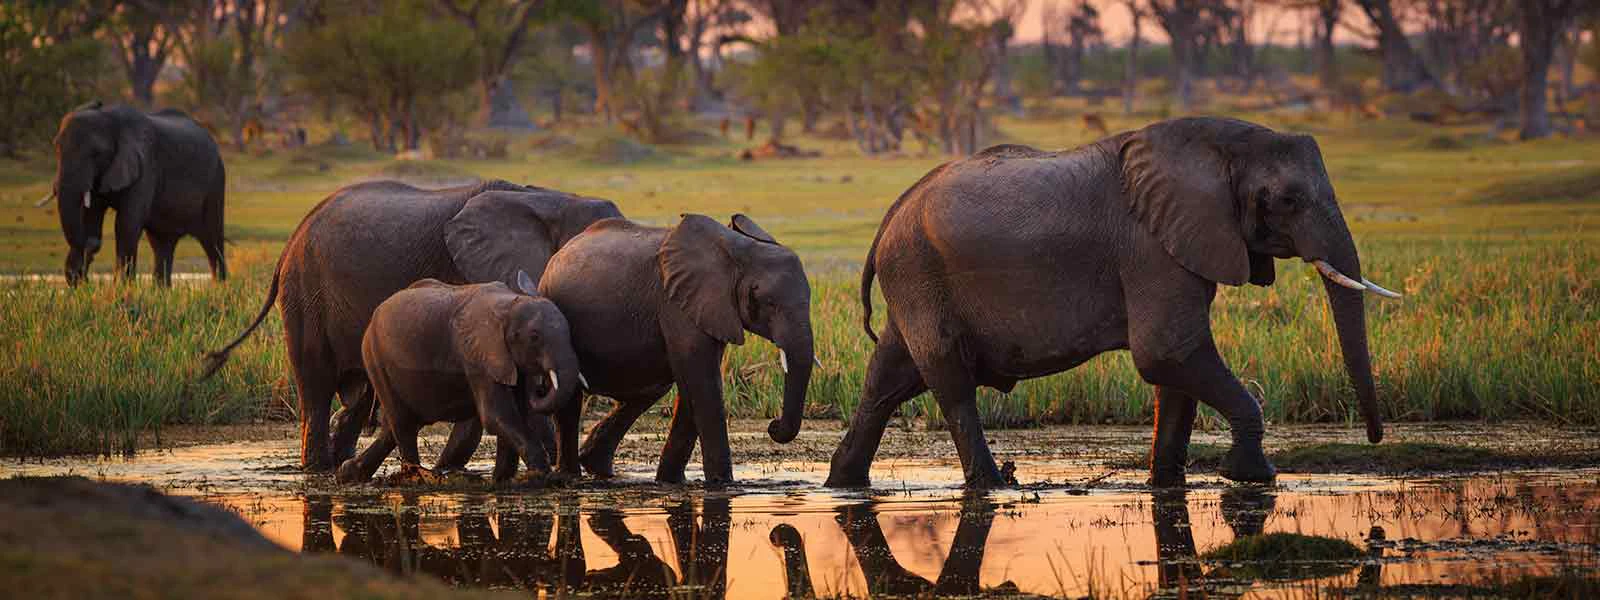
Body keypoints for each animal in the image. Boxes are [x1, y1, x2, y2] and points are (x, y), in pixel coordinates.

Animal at [51, 101, 227, 286]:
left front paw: (122, 288)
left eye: (96, 153)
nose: (92, 244)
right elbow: (91, 217)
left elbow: (126, 224)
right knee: (162, 243)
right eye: (56, 148)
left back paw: (219, 288)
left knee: (212, 241)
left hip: (216, 182)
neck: (109, 116)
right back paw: (162, 290)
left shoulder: (145, 166)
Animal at [334, 274, 581, 484]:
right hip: (375, 359)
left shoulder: (506, 361)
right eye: (535, 337)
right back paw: (414, 477)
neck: (508, 305)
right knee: (402, 424)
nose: (541, 385)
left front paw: (502, 480)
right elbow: (496, 415)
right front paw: (540, 474)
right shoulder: (477, 356)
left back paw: (348, 474)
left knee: (396, 427)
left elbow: (517, 412)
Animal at [488, 213, 814, 485]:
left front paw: (671, 482)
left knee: (650, 389)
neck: (738, 249)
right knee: (571, 399)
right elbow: (703, 382)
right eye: (767, 301)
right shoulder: (676, 304)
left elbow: (693, 385)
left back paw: (596, 466)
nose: (773, 426)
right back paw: (571, 476)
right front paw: (723, 486)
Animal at [827, 117, 1402, 489]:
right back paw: (995, 485)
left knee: (888, 379)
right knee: (951, 382)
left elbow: (1175, 369)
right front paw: (1252, 477)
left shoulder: (1183, 243)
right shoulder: (1150, 247)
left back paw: (843, 483)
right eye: (1288, 200)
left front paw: (1166, 483)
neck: (1221, 147)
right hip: (918, 273)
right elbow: (1167, 351)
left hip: (913, 281)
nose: (1376, 438)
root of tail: (893, 211)